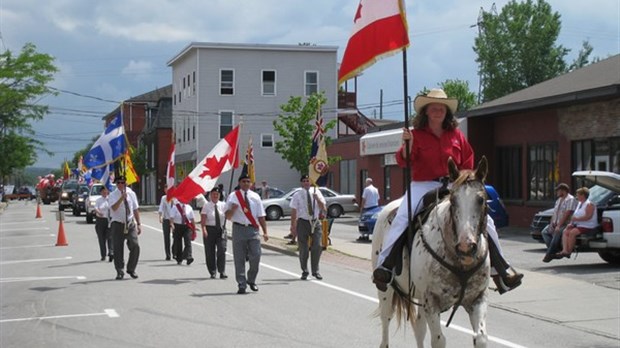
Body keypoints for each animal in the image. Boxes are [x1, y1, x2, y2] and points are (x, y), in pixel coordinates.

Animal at [370, 157, 492, 348]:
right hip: (386, 290)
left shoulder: (478, 299)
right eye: (453, 200)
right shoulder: (432, 301)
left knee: (419, 328)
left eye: (480, 199)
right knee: (386, 322)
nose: (466, 246)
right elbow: (439, 340)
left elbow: (480, 338)